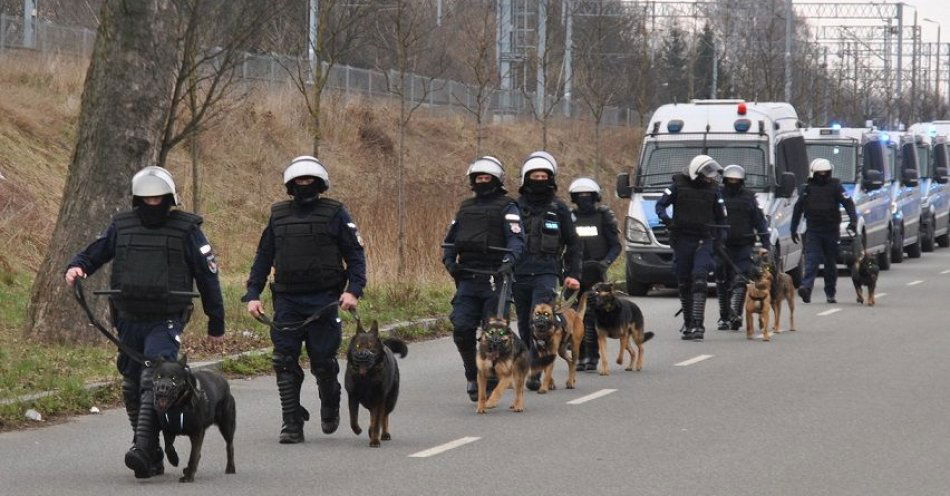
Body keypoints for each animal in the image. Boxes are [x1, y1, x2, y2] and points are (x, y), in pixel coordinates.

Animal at [152, 354, 236, 482]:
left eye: (173, 378)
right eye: (158, 376)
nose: (161, 389)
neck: (177, 407)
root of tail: (223, 380)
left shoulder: (197, 433)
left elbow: (193, 455)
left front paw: (189, 476)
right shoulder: (168, 430)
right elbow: (168, 447)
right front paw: (174, 459)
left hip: (227, 425)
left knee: (229, 446)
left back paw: (230, 468)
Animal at [348, 320, 410, 448]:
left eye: (370, 346)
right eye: (357, 346)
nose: (362, 354)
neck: (365, 378)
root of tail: (385, 345)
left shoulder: (379, 399)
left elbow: (377, 422)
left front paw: (375, 440)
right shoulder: (352, 397)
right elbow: (353, 419)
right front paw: (358, 429)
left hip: (390, 401)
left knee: (384, 417)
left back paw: (384, 433)